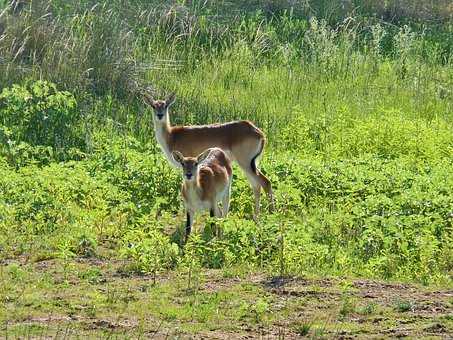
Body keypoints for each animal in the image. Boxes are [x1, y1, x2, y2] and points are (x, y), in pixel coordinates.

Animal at [143, 91, 274, 219]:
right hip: (250, 164)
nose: (160, 115)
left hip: (245, 163)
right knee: (256, 186)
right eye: (154, 106)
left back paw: (271, 214)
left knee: (265, 182)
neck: (171, 136)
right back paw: (256, 217)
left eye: (165, 105)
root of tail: (258, 132)